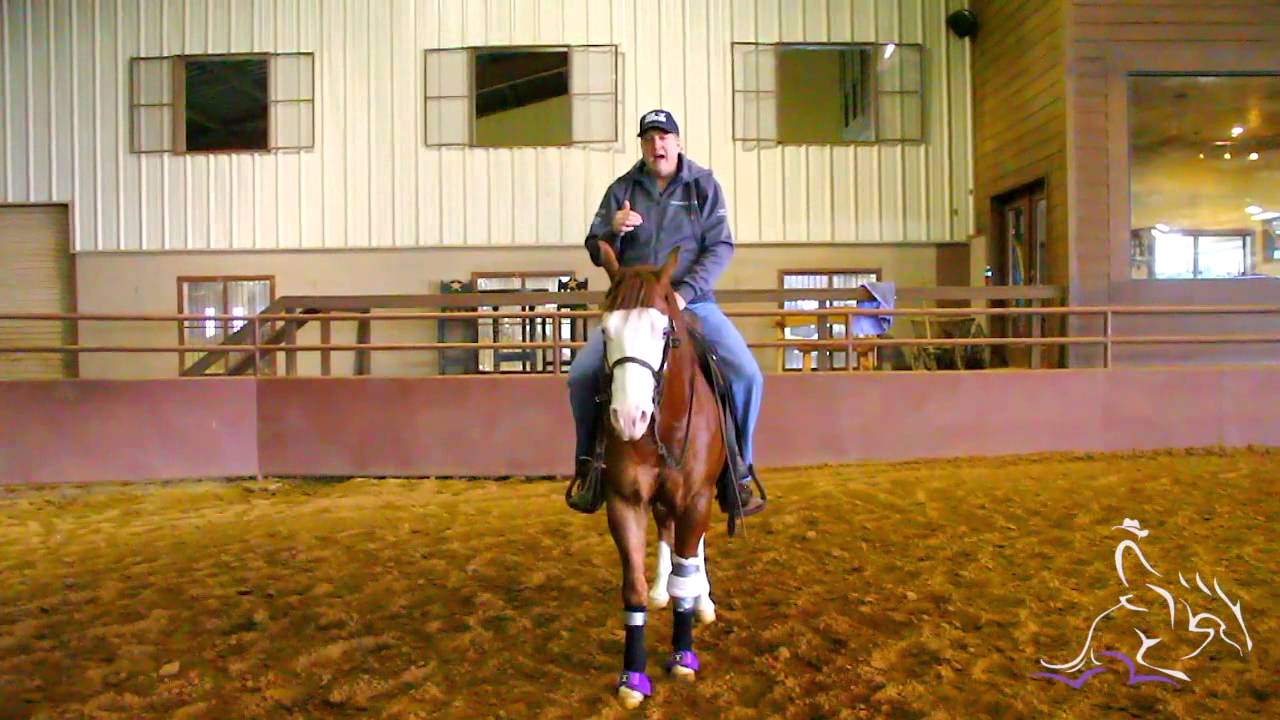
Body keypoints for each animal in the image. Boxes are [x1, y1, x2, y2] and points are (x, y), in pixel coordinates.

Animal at [593, 240, 728, 709]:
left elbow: (686, 576)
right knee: (667, 533)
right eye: (605, 331)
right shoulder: (625, 501)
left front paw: (683, 656)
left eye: (663, 331)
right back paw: (659, 588)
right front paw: (632, 678)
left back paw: (703, 602)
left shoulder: (697, 499)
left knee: (692, 550)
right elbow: (631, 588)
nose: (629, 418)